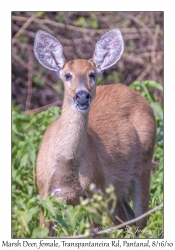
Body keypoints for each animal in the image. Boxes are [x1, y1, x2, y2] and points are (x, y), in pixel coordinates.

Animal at [33, 28, 157, 235]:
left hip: (143, 166)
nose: (82, 96)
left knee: (140, 222)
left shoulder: (94, 192)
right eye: (67, 75)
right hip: (116, 190)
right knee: (127, 220)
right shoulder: (45, 195)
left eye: (92, 74)